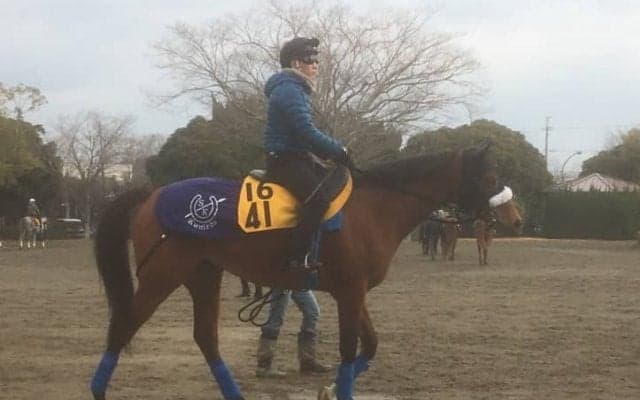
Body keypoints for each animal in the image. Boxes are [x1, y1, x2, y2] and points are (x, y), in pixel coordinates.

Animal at [89, 144, 522, 400]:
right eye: (489, 177)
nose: (515, 218)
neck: (373, 208)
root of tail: (153, 193)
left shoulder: (354, 292)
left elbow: (370, 345)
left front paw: (327, 388)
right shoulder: (350, 292)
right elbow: (349, 350)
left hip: (203, 275)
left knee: (206, 338)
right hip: (162, 275)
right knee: (123, 326)